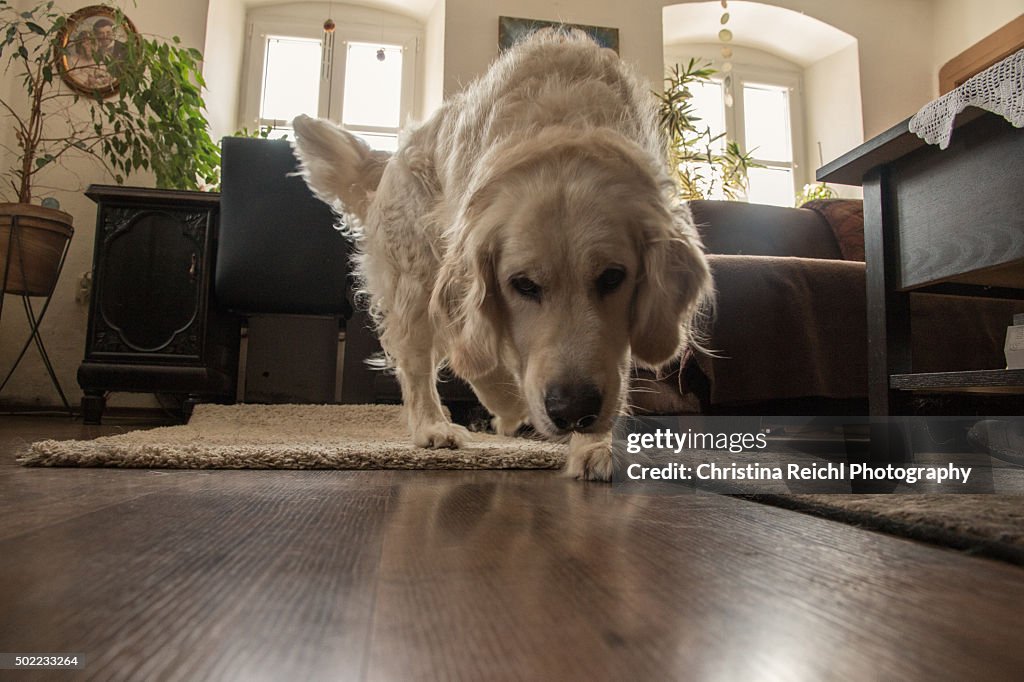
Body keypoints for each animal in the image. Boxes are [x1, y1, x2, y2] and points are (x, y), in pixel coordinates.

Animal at [292, 29, 708, 481]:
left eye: (613, 277)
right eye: (523, 284)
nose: (573, 412)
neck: (563, 126)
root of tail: (391, 156)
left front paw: (596, 447)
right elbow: (478, 355)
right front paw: (518, 409)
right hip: (417, 278)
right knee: (422, 364)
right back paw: (438, 425)